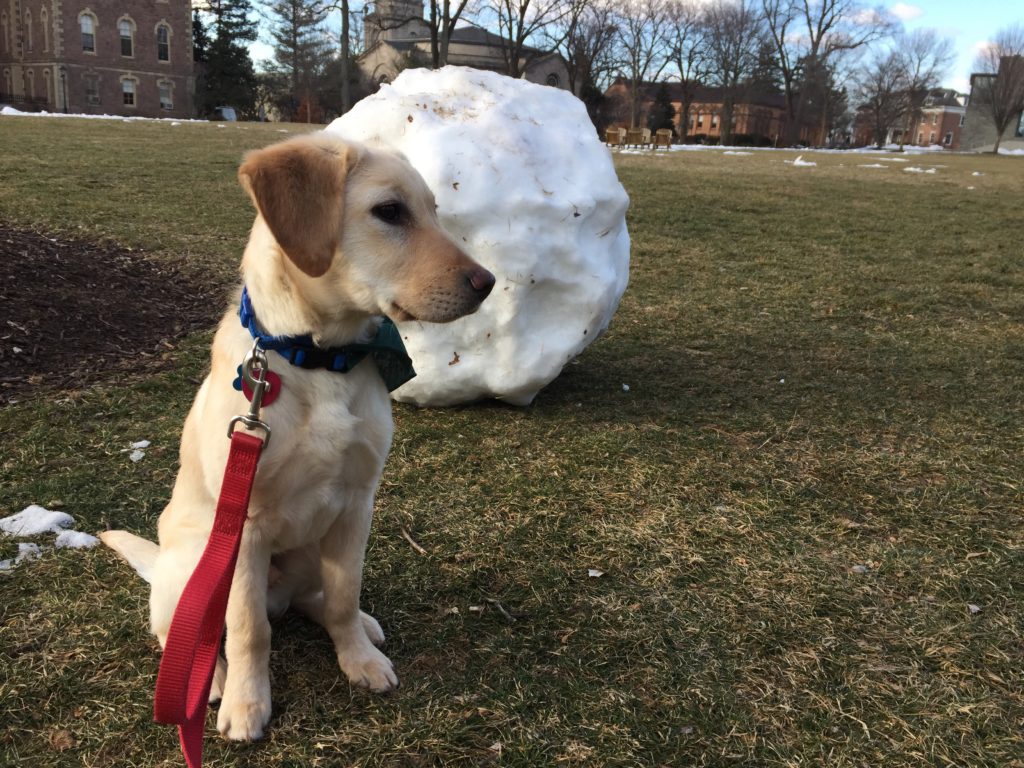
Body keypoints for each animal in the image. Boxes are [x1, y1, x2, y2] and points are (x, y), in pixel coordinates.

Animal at [101, 135, 493, 741]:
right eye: (390, 212)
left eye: (435, 211)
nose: (488, 283)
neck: (320, 358)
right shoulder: (246, 528)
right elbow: (247, 630)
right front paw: (247, 702)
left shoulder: (357, 505)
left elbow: (342, 595)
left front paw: (358, 658)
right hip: (196, 560)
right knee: (182, 630)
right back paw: (211, 680)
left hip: (310, 548)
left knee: (314, 599)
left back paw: (359, 624)